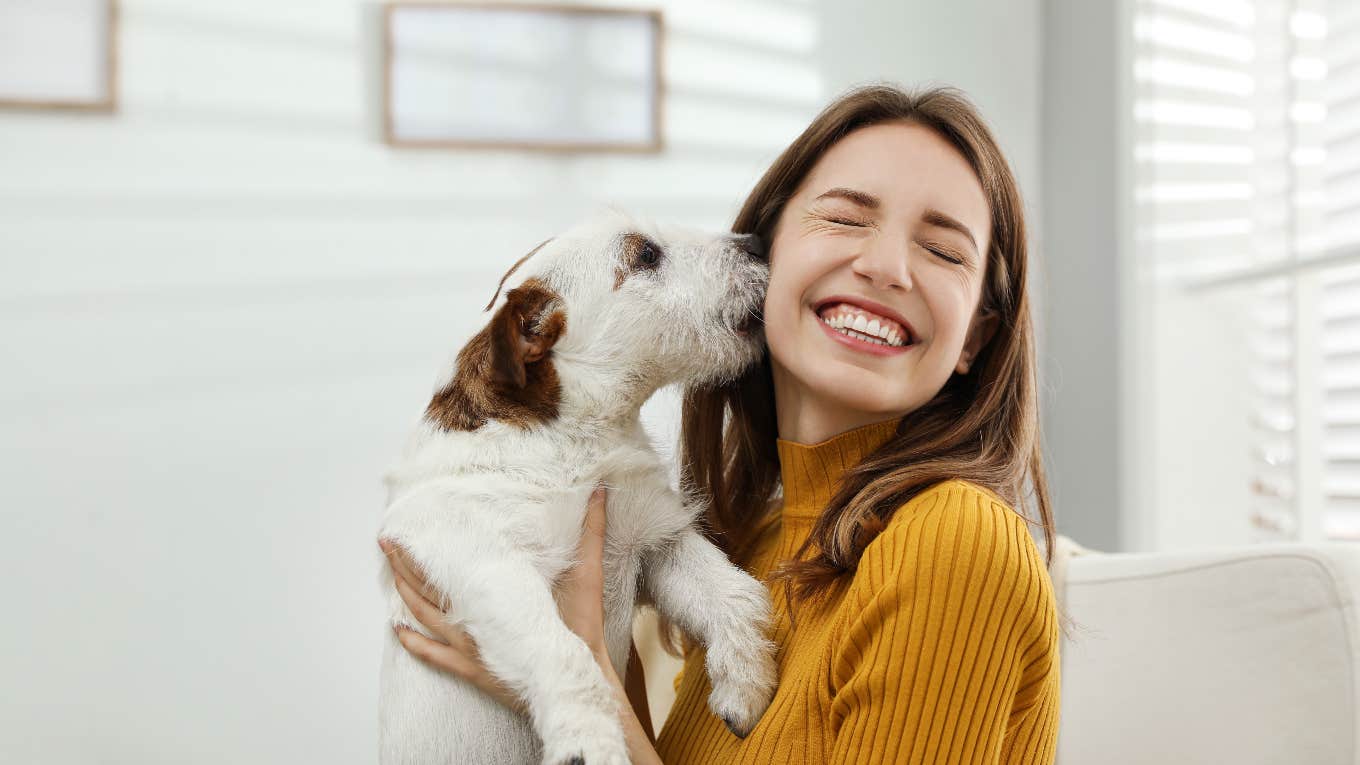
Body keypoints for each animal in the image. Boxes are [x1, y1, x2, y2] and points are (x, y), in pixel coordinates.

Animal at [378, 209, 783, 762]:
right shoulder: (488, 564)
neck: (578, 442)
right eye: (646, 255)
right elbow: (565, 653)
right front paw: (588, 741)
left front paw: (744, 684)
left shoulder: (656, 542)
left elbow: (737, 595)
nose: (758, 243)